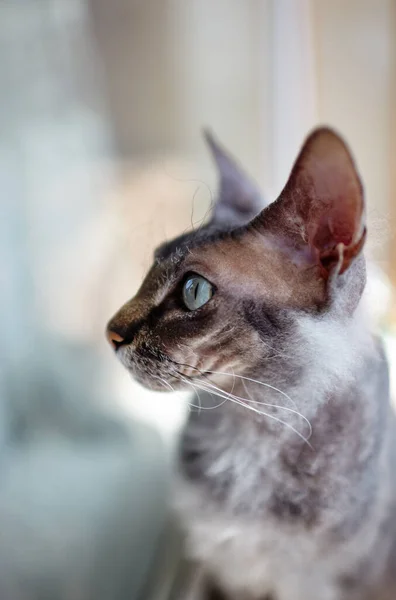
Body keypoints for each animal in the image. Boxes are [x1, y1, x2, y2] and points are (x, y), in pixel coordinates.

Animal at [106, 127, 396, 600]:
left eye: (194, 291)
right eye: (150, 269)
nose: (110, 332)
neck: (249, 429)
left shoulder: (313, 583)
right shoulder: (212, 567)